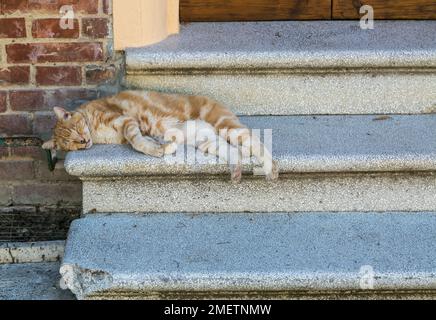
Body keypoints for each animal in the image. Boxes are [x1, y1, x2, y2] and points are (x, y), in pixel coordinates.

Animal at [42, 91, 278, 184]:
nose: (84, 141)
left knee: (256, 143)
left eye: (77, 130)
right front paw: (163, 147)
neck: (94, 129)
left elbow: (138, 143)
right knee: (233, 152)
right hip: (207, 142)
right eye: (71, 143)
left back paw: (271, 169)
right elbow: (146, 141)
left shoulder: (125, 122)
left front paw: (156, 150)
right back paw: (236, 172)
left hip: (226, 127)